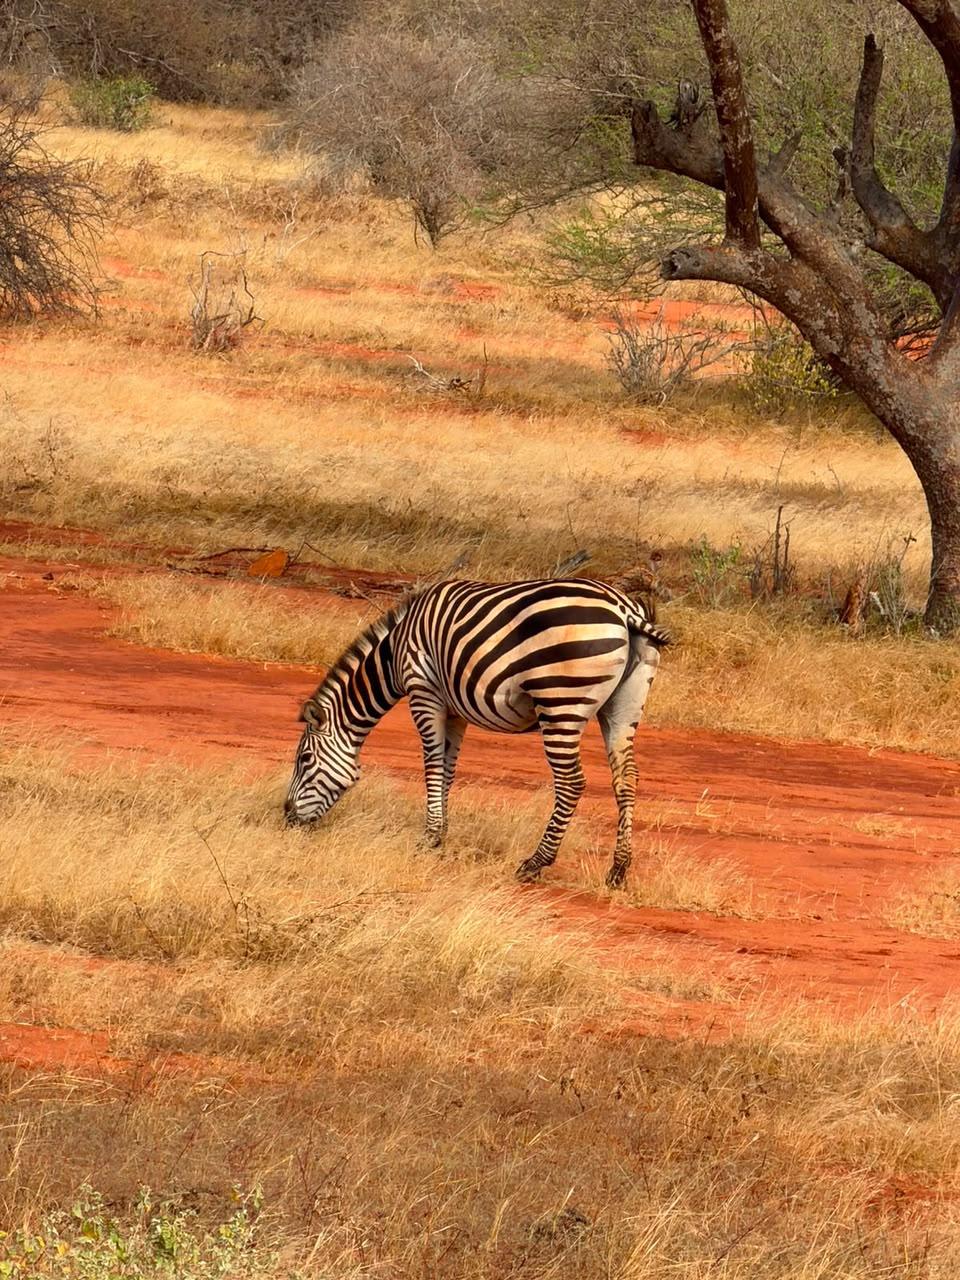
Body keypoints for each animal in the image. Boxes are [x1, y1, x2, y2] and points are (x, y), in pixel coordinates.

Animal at [283, 578, 669, 887]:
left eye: (304, 759)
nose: (287, 818)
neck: (394, 654)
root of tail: (622, 608)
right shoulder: (455, 710)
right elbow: (448, 769)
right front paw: (442, 831)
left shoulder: (424, 691)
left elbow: (432, 765)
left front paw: (430, 837)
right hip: (623, 705)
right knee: (626, 779)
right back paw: (618, 870)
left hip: (560, 699)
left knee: (571, 782)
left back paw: (535, 863)